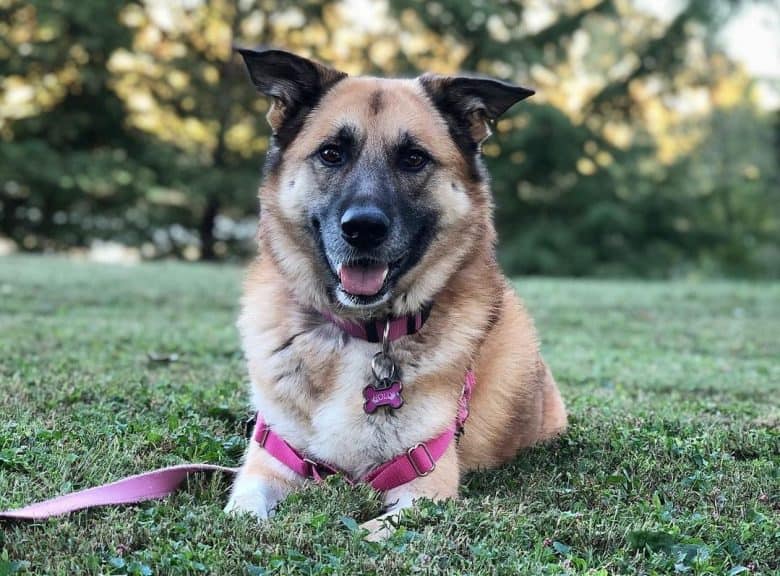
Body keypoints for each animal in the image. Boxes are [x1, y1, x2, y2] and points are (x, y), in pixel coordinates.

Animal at [225, 47, 568, 536]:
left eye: (413, 158)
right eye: (332, 153)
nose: (363, 229)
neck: (361, 332)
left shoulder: (424, 485)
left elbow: (366, 533)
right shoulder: (266, 465)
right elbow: (242, 513)